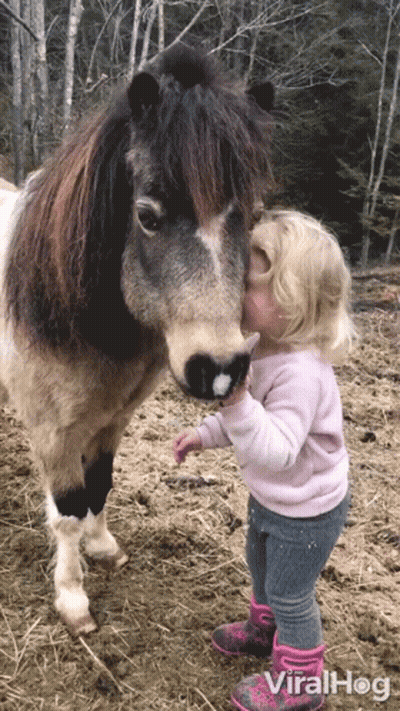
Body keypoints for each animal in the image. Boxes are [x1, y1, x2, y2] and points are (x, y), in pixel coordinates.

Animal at [0, 44, 274, 635]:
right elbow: (67, 509)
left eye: (252, 217)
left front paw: (104, 548)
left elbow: (99, 485)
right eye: (147, 216)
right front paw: (72, 598)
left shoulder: (113, 419)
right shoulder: (54, 433)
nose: (220, 368)